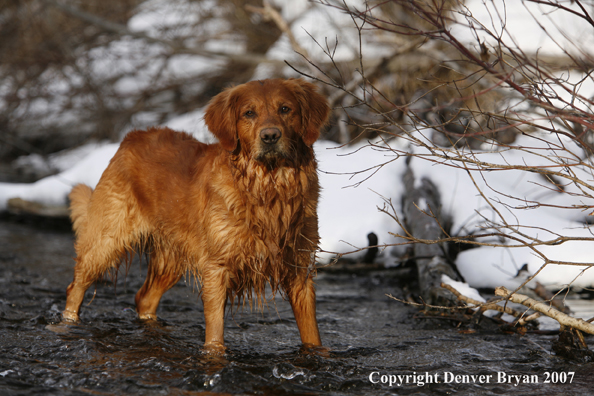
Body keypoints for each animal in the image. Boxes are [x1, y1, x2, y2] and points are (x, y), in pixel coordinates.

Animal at [63, 79, 328, 352]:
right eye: (249, 113)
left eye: (285, 109)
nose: (270, 136)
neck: (269, 189)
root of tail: (130, 137)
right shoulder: (217, 267)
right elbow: (215, 330)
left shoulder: (300, 270)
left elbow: (311, 332)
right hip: (107, 240)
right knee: (76, 286)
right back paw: (67, 323)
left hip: (171, 256)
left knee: (144, 298)